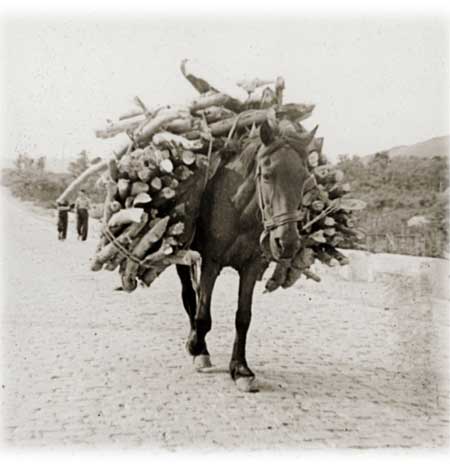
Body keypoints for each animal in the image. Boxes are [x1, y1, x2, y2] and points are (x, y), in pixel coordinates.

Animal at [176, 120, 316, 392]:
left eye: (304, 179)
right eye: (267, 175)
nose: (287, 243)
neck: (238, 209)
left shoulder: (251, 267)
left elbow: (243, 318)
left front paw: (240, 369)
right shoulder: (211, 263)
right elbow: (203, 315)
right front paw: (197, 348)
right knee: (189, 295)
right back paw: (197, 344)